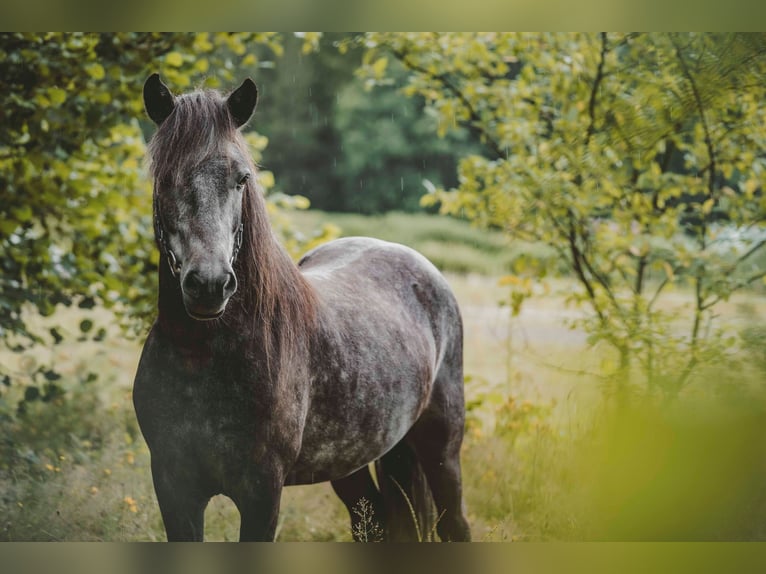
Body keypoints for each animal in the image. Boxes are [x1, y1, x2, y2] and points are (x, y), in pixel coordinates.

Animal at [133, 74, 471, 542]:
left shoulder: (262, 493)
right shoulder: (173, 487)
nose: (210, 285)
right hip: (354, 462)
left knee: (456, 524)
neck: (201, 356)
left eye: (241, 178)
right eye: (165, 177)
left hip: (442, 450)